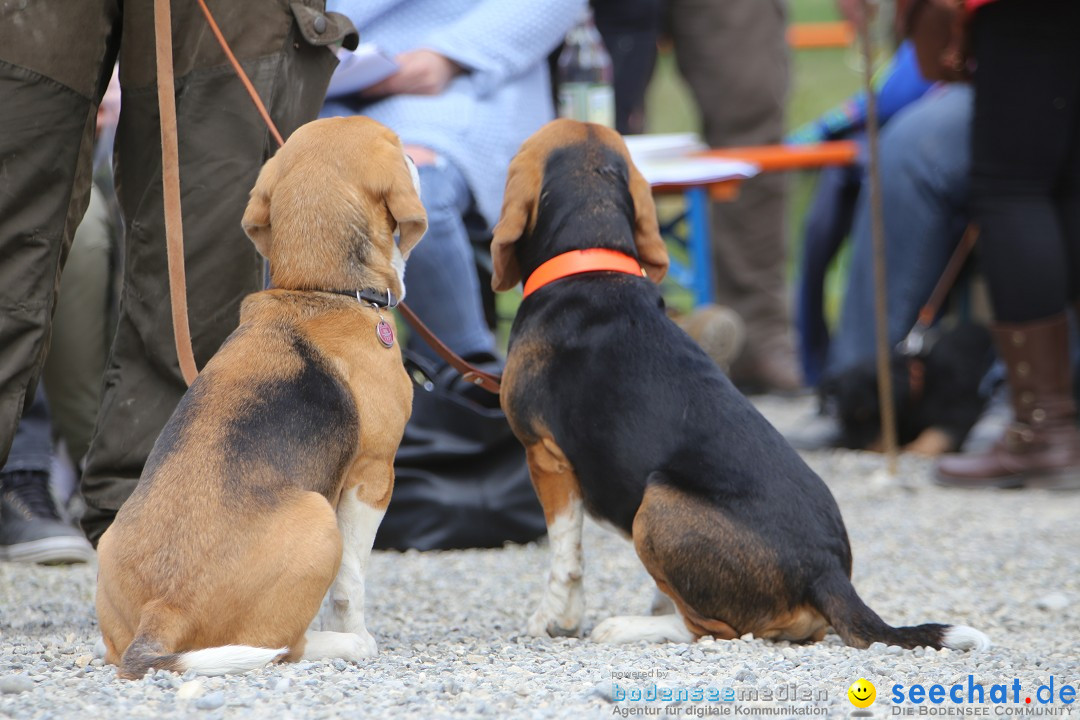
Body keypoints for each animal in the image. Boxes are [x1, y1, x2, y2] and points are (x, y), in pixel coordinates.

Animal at [825, 321, 993, 453]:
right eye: (842, 420)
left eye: (869, 415)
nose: (854, 446)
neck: (923, 386)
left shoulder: (960, 409)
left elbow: (939, 433)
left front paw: (916, 448)